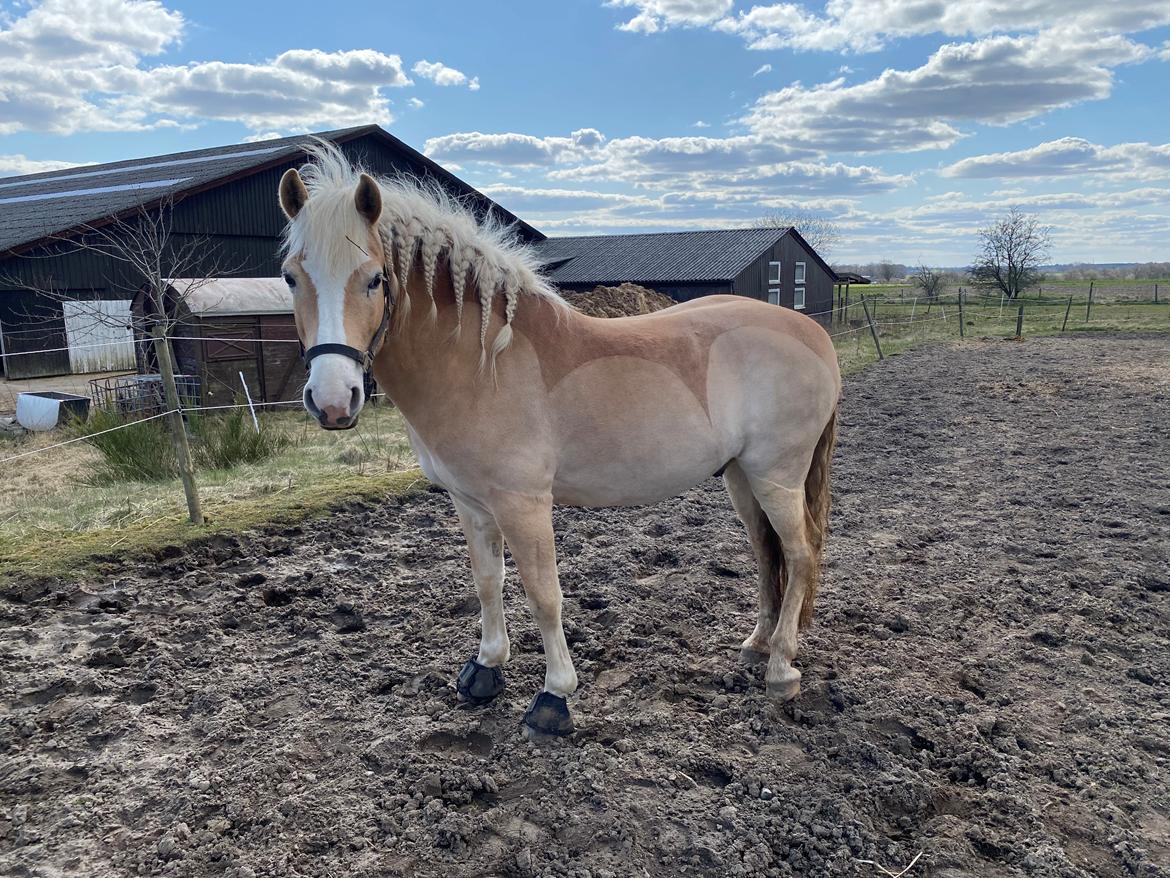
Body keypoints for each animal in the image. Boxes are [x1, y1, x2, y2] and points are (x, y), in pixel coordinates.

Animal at [276, 144, 842, 735]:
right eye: (291, 277)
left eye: (373, 279)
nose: (333, 400)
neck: (484, 364)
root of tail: (813, 333)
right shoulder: (470, 502)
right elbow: (488, 582)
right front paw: (485, 670)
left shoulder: (523, 504)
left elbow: (544, 595)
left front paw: (554, 697)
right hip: (740, 476)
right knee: (766, 553)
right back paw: (757, 646)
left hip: (777, 476)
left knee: (800, 554)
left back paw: (782, 668)